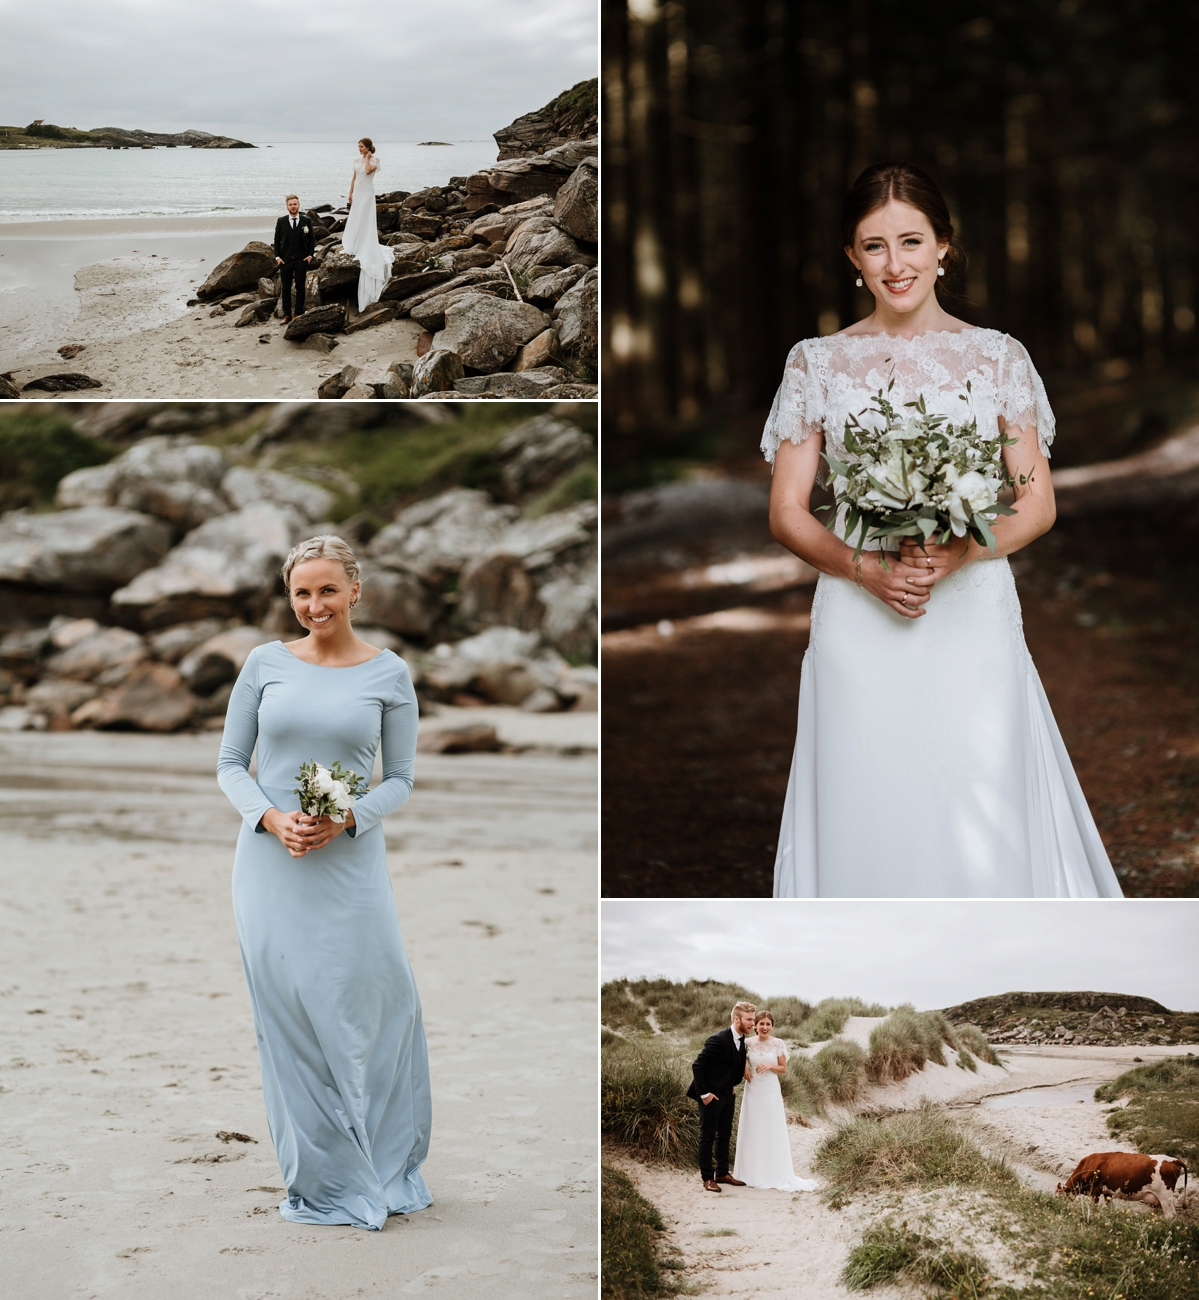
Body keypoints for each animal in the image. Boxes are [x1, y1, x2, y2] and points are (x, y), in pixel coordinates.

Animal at [1055, 1149, 1185, 1216]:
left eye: (1061, 1197)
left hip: (1165, 1197)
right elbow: (1110, 1206)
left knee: (1170, 1215)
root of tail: (1174, 1160)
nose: (1057, 1207)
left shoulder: (1095, 1191)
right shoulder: (1107, 1193)